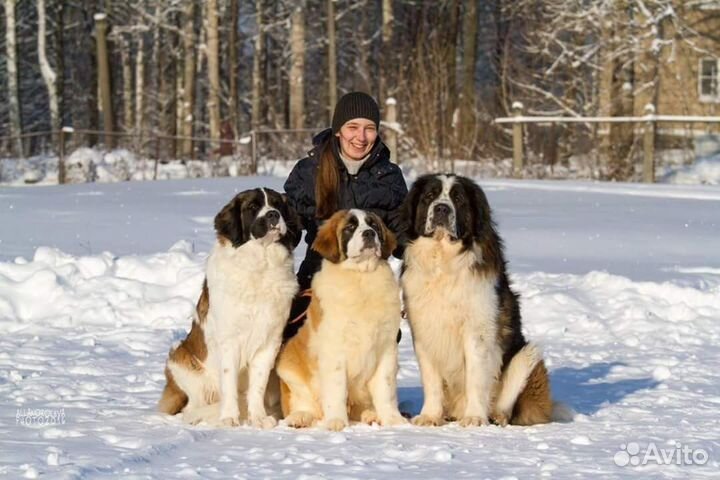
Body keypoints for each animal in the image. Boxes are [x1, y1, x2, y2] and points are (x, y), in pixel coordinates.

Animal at [159, 188, 300, 428]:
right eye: (252, 207)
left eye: (277, 205)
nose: (273, 215)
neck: (259, 267)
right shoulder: (229, 341)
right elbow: (229, 381)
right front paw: (229, 418)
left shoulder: (269, 342)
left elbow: (258, 385)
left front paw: (258, 417)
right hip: (180, 357)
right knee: (191, 408)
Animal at [278, 210, 410, 432]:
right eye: (350, 227)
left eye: (374, 225)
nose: (369, 233)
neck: (361, 278)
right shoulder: (334, 352)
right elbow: (336, 390)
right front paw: (336, 422)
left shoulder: (386, 349)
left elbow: (385, 389)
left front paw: (393, 420)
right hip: (289, 366)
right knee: (305, 404)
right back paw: (300, 418)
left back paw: (370, 415)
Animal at [400, 175, 556, 428]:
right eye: (429, 196)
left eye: (458, 199)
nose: (441, 208)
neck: (443, 263)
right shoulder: (425, 331)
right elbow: (431, 380)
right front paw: (430, 416)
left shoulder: (477, 332)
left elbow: (476, 376)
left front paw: (474, 418)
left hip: (527, 355)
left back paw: (496, 416)